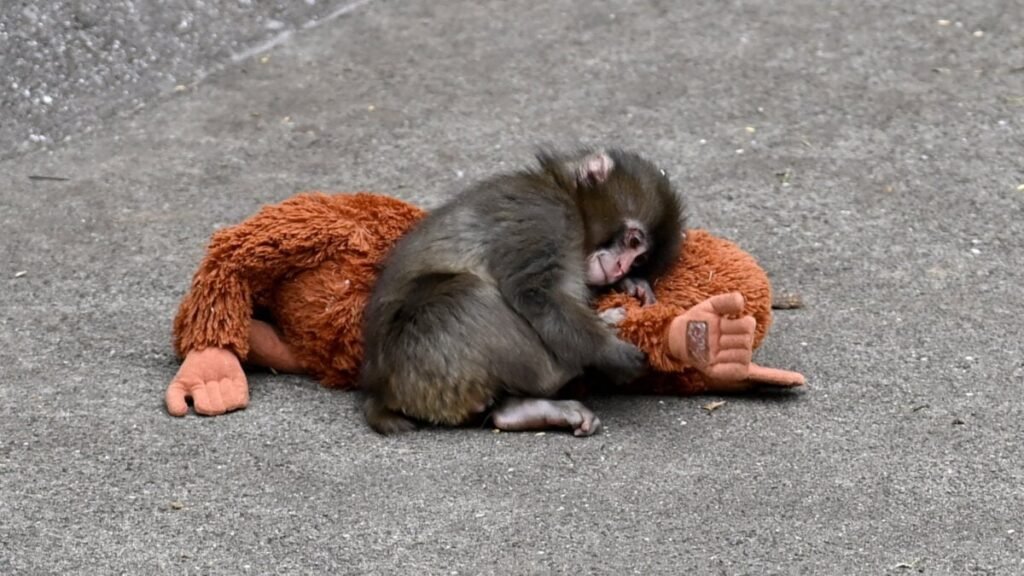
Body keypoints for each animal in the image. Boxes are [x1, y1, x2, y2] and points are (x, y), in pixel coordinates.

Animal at [359, 148, 685, 436]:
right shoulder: (546, 216)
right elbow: (535, 293)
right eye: (633, 241)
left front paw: (632, 286)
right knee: (466, 294)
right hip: (421, 358)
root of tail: (380, 390)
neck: (566, 196)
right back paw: (566, 368)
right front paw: (609, 351)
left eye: (639, 260)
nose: (620, 268)